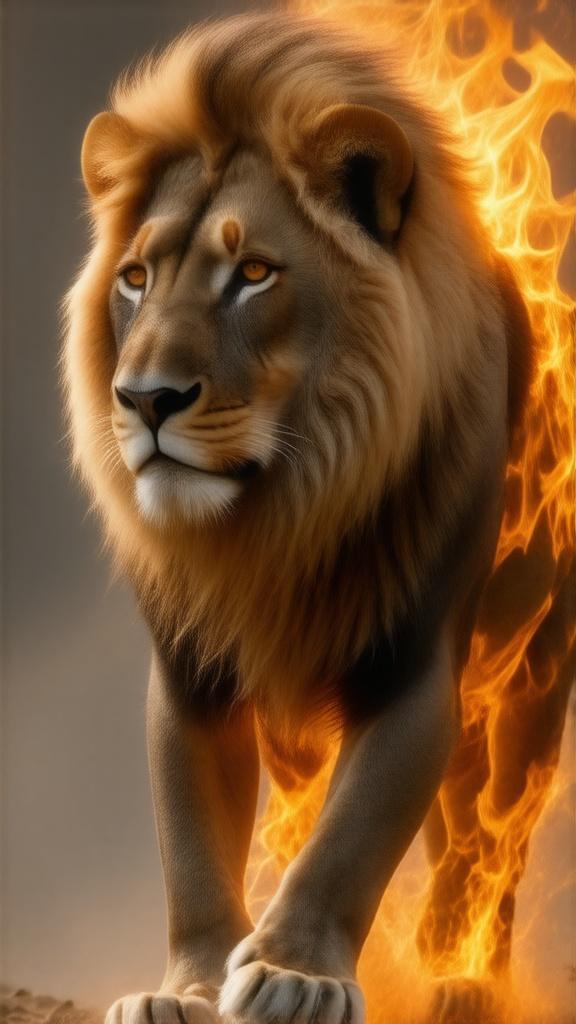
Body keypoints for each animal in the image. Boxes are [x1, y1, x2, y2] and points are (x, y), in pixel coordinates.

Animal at [63, 11, 536, 1024]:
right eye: (135, 278)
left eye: (253, 273)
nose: (144, 399)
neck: (278, 512)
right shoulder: (189, 672)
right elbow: (193, 841)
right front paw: (187, 987)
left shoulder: (414, 660)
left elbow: (354, 832)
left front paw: (293, 974)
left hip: (528, 683)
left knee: (489, 839)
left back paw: (462, 979)